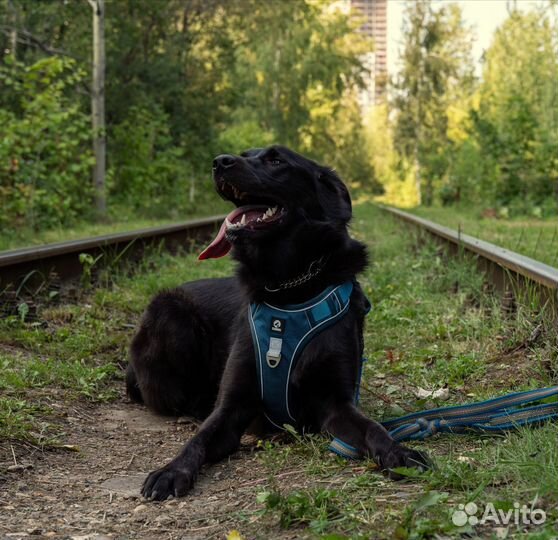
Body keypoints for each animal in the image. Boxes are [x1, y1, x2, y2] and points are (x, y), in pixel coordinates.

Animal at [128, 146, 428, 500]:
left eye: (276, 160)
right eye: (245, 155)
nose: (219, 161)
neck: (288, 290)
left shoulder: (337, 404)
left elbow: (372, 428)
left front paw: (398, 452)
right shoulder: (230, 408)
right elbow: (198, 439)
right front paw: (172, 469)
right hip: (170, 311)